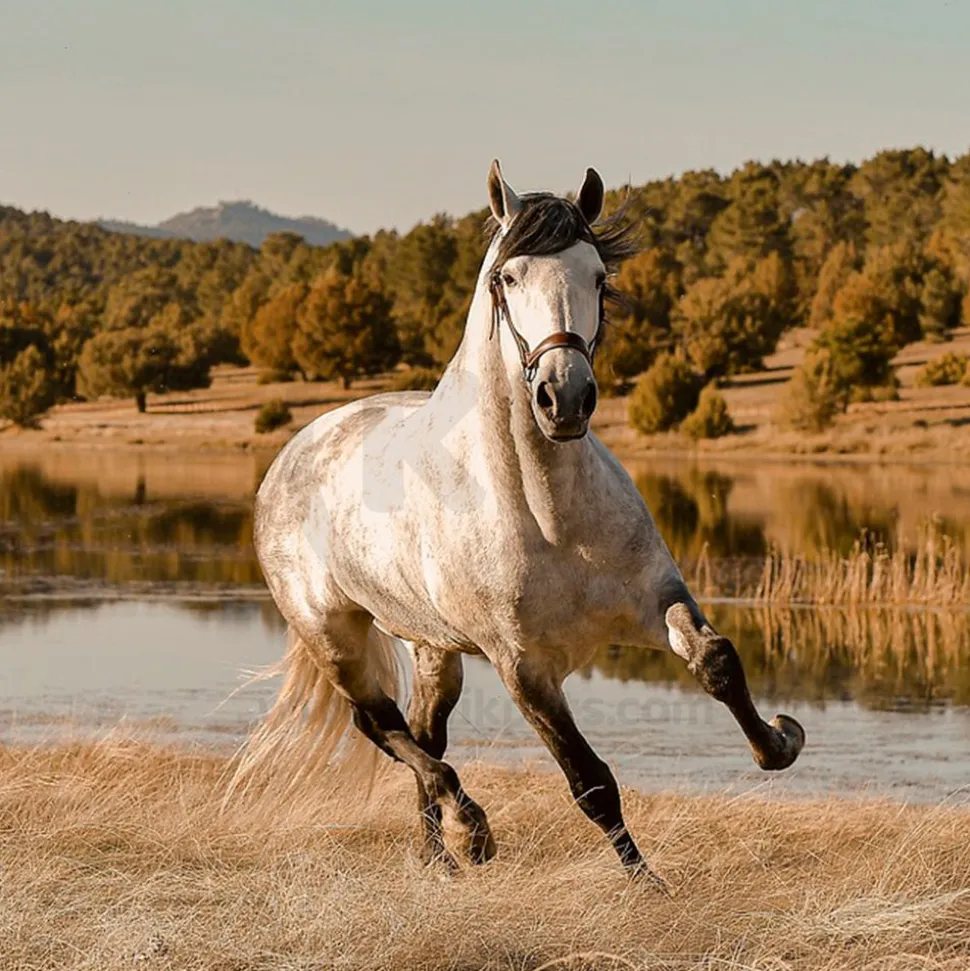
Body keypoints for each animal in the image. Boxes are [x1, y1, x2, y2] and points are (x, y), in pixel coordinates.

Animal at [237, 160, 805, 882]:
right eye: (506, 278)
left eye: (598, 275)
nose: (565, 397)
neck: (548, 513)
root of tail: (292, 452)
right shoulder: (524, 668)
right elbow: (591, 782)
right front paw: (650, 888)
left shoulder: (654, 601)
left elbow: (718, 661)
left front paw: (780, 741)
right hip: (333, 635)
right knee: (382, 726)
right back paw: (471, 830)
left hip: (434, 648)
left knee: (423, 732)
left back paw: (439, 860)